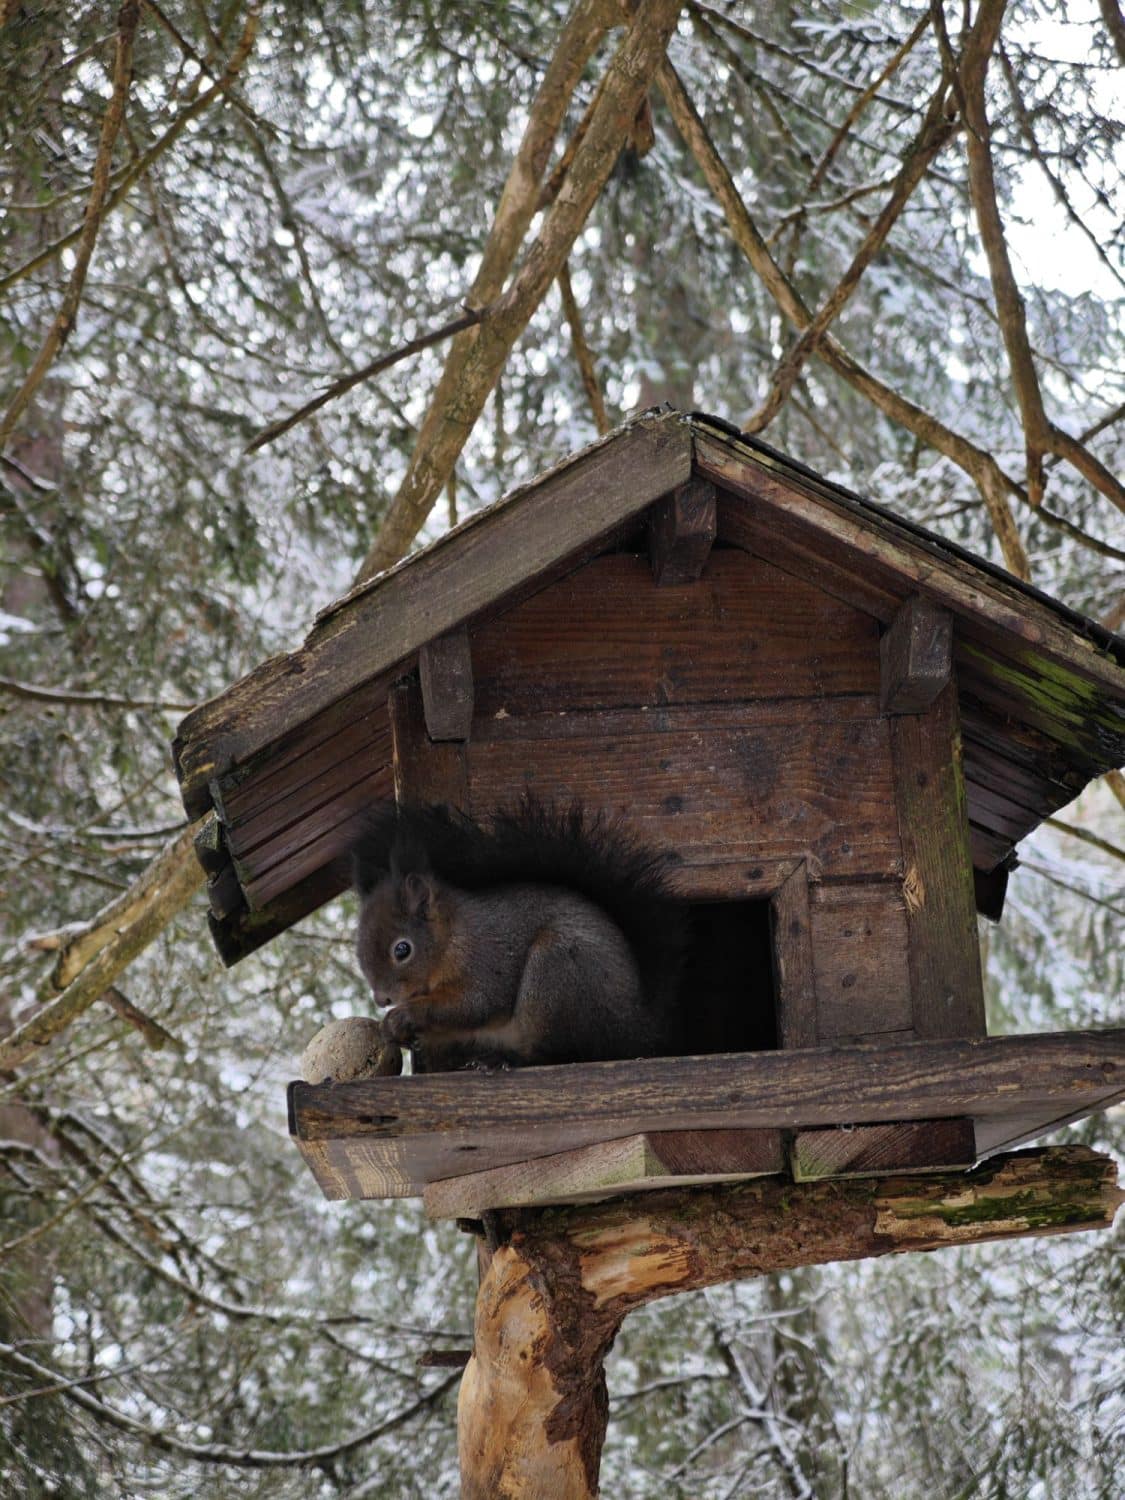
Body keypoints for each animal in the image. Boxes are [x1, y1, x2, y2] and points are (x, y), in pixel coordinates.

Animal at [350, 800, 687, 1071]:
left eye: (402, 949)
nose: (382, 999)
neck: (453, 938)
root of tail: (636, 1029)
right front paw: (396, 1030)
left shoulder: (487, 958)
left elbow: (476, 1003)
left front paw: (403, 1016)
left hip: (556, 973)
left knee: (555, 1053)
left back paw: (504, 1060)